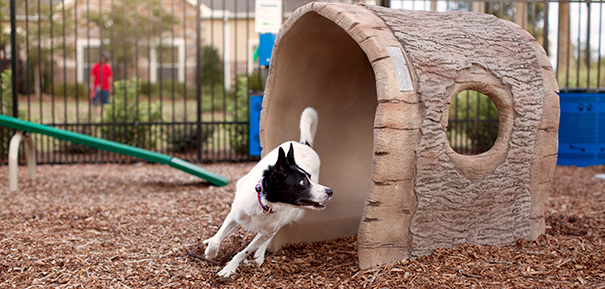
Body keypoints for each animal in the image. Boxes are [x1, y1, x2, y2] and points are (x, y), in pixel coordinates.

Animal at [204, 107, 336, 276]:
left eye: (310, 177)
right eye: (302, 182)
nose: (330, 191)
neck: (266, 204)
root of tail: (304, 145)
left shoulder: (269, 228)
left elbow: (245, 251)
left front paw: (230, 267)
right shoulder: (235, 215)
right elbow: (217, 239)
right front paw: (211, 252)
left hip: (287, 217)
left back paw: (260, 254)